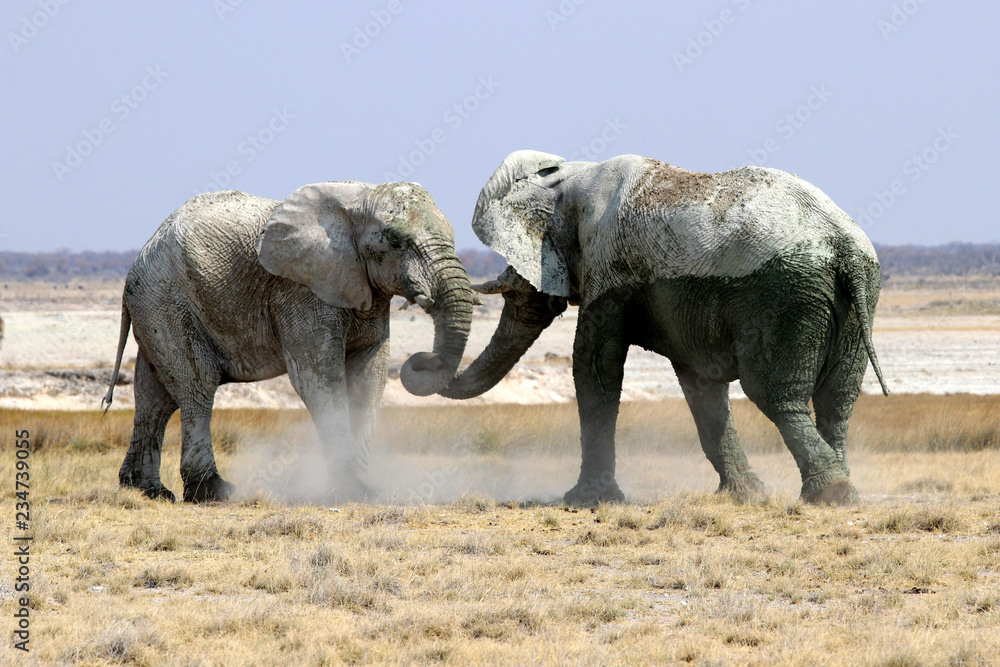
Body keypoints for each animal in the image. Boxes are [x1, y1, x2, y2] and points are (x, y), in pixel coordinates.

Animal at [102, 181, 474, 502]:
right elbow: (319, 377)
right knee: (196, 386)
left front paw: (365, 487)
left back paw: (147, 491)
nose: (423, 357)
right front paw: (349, 489)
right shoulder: (300, 291)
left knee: (155, 396)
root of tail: (138, 260)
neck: (358, 201)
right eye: (396, 242)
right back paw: (213, 492)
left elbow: (370, 379)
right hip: (167, 301)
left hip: (153, 305)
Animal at [441, 150, 889, 506]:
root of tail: (845, 247)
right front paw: (743, 496)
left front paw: (587, 501)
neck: (572, 177)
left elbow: (594, 366)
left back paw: (830, 495)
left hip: (787, 296)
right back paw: (841, 491)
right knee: (837, 401)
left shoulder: (609, 268)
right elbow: (700, 386)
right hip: (854, 298)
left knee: (776, 396)